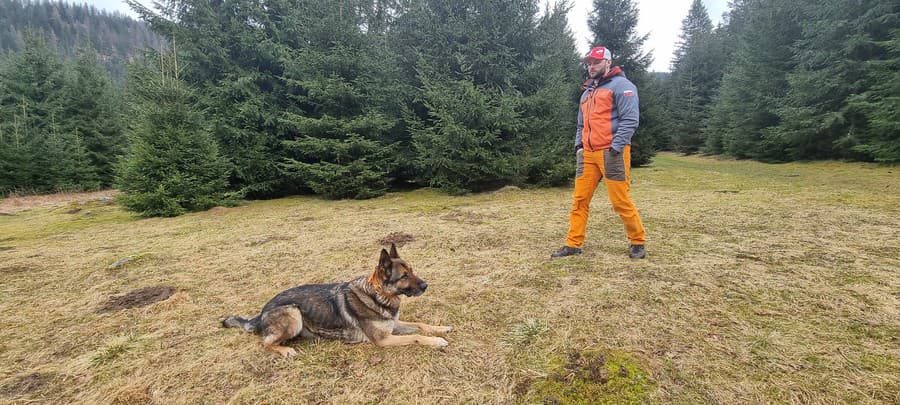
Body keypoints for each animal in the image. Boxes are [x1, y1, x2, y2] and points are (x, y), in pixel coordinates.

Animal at [222, 241, 454, 356]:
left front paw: (441, 328)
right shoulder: (383, 339)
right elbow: (416, 336)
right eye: (404, 276)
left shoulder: (393, 325)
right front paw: (437, 341)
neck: (378, 294)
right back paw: (286, 350)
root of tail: (261, 312)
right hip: (293, 313)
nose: (426, 285)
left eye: (412, 271)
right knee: (265, 343)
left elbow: (420, 325)